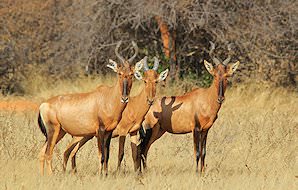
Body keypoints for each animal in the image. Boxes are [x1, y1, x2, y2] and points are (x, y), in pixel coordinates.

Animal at [37, 41, 142, 175]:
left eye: (131, 74)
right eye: (119, 73)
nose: (124, 98)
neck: (107, 97)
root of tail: (43, 105)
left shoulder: (109, 132)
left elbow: (107, 155)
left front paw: (105, 174)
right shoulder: (100, 130)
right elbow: (101, 155)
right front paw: (100, 175)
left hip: (60, 132)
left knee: (42, 152)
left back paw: (42, 176)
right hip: (53, 131)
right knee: (48, 153)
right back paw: (51, 175)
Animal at [140, 42, 240, 174]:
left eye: (227, 75)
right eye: (214, 75)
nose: (220, 99)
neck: (205, 98)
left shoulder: (205, 130)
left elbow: (203, 152)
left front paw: (203, 172)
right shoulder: (195, 129)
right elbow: (196, 152)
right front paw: (197, 173)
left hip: (159, 131)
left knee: (145, 149)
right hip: (151, 130)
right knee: (143, 148)